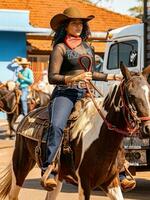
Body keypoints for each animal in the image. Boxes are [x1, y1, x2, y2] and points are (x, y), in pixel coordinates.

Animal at [0, 65, 150, 199]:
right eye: (131, 95)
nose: (147, 128)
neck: (104, 138)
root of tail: (29, 114)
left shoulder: (111, 182)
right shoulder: (85, 183)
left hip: (57, 178)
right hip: (20, 166)